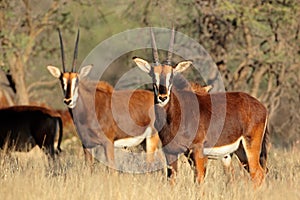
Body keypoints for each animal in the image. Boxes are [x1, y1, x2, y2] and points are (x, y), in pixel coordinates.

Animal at [134, 27, 270, 187]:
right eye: (153, 76)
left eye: (171, 76)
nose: (162, 97)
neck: (175, 115)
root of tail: (261, 106)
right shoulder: (171, 152)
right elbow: (171, 180)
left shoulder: (198, 151)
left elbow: (198, 181)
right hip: (240, 151)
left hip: (250, 146)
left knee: (257, 174)